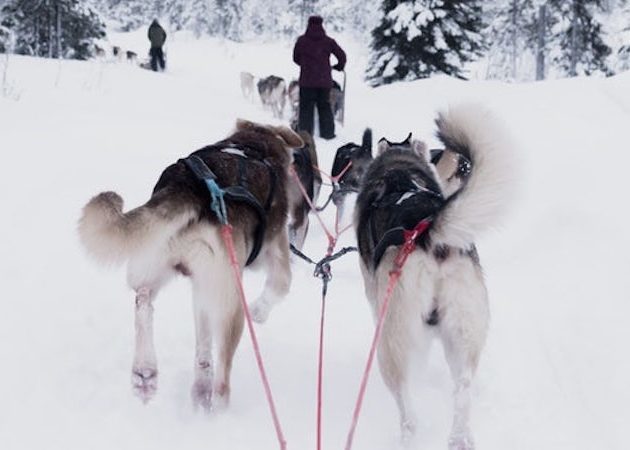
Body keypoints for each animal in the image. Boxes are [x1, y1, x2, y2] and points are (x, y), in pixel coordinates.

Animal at [78, 118, 304, 412]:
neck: (253, 144)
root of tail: (188, 189)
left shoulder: (201, 288)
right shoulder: (276, 252)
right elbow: (280, 286)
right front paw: (259, 311)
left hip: (157, 262)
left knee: (144, 302)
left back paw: (147, 373)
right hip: (231, 302)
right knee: (222, 376)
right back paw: (218, 408)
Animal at [358, 105, 516, 450]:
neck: (400, 172)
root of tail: (430, 232)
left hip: (392, 340)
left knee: (407, 406)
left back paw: (408, 435)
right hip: (463, 331)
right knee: (462, 389)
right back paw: (460, 437)